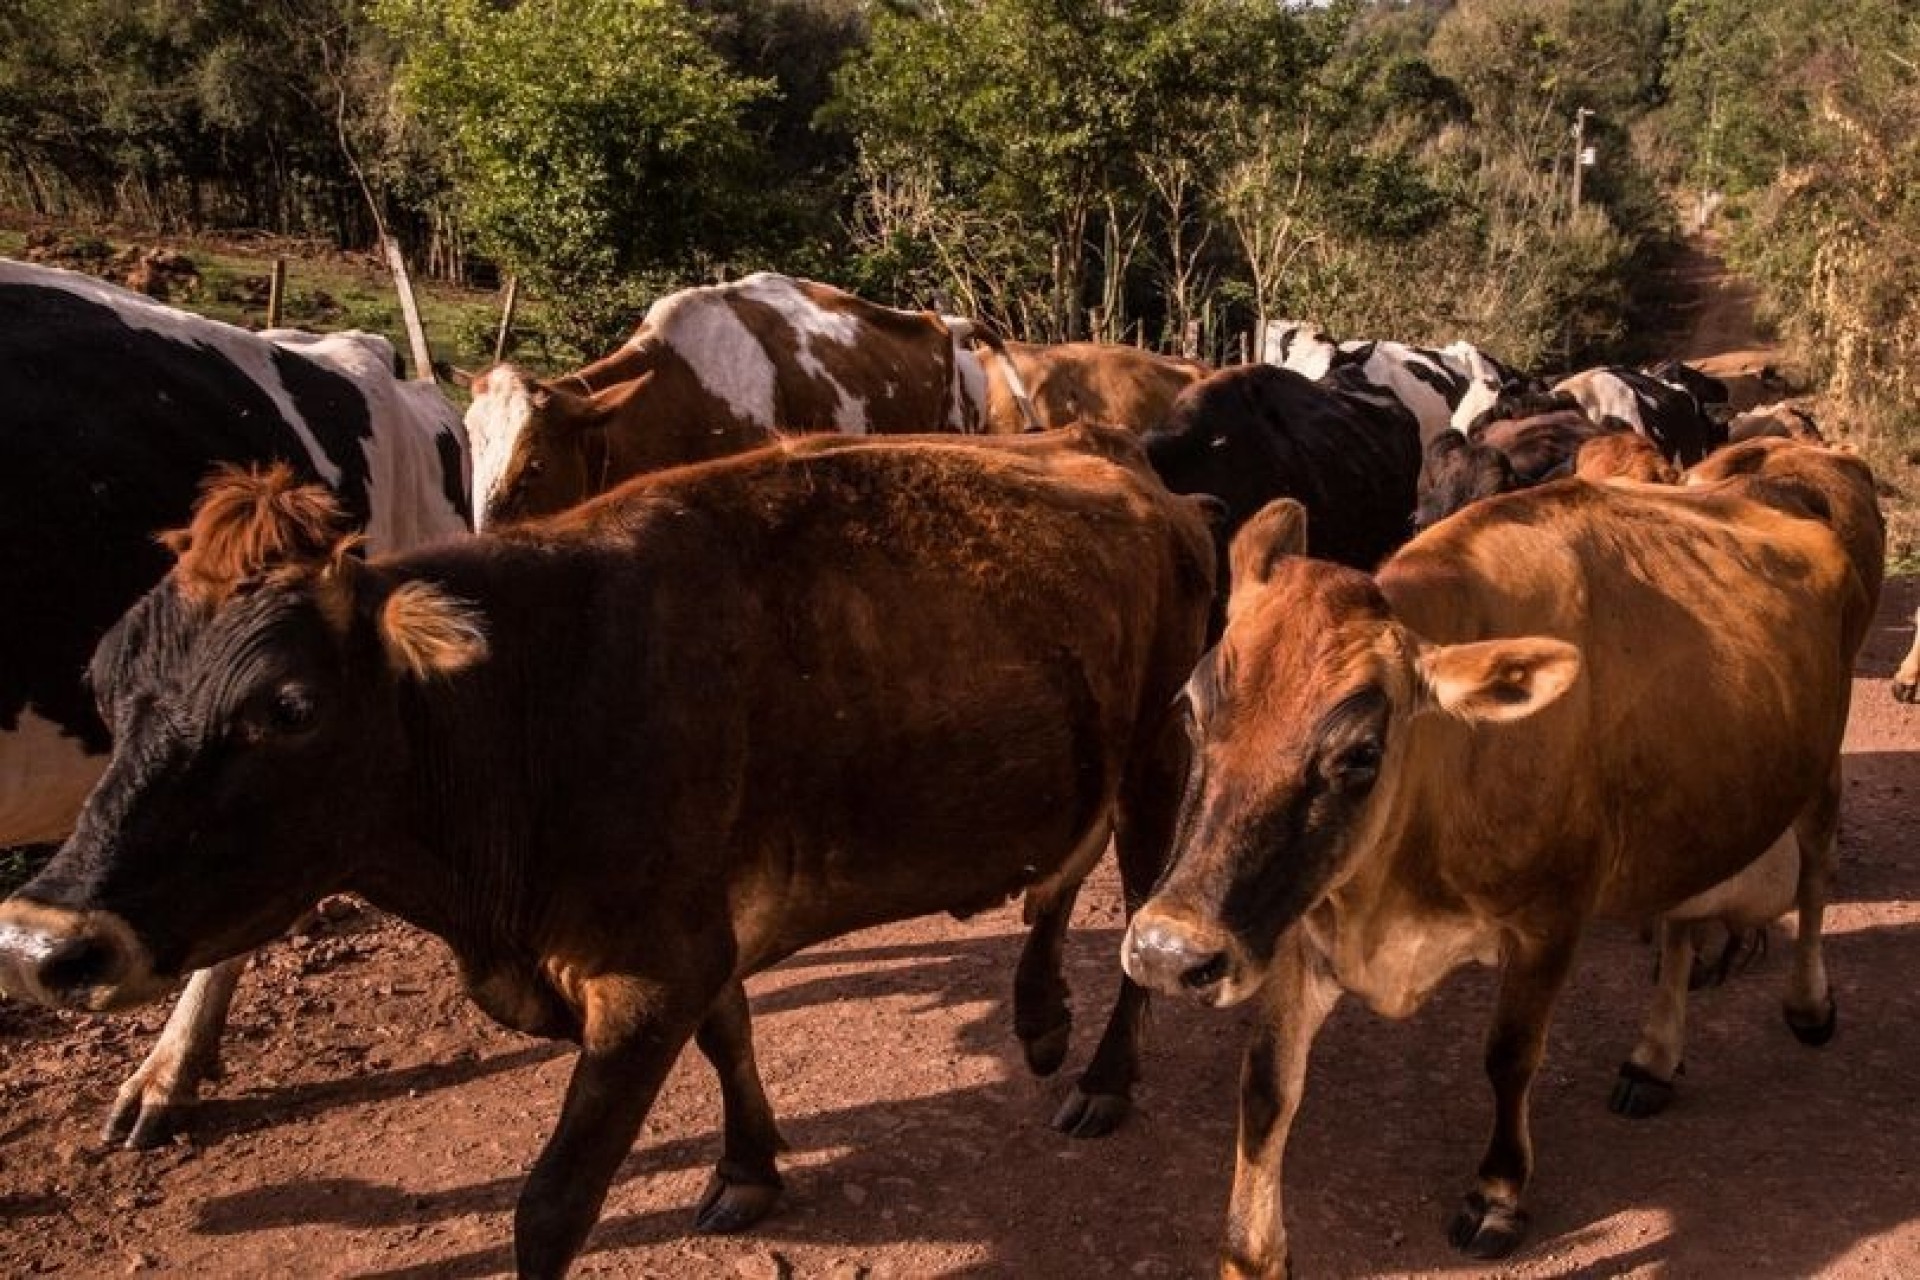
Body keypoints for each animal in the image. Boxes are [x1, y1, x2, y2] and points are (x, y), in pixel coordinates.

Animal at [0, 429, 1205, 1280]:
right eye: (104, 686)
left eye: (288, 706)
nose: (41, 938)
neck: (526, 700)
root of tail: (1125, 460)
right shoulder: (694, 930)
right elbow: (731, 1037)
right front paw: (749, 1167)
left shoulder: (647, 970)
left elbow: (552, 1203)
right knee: (1059, 872)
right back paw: (1039, 1019)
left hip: (1158, 748)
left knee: (1140, 913)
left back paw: (1101, 1077)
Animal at [1121, 445, 1881, 1274]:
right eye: (1191, 711)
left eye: (1361, 754)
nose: (1167, 952)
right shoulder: (1296, 921)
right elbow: (1266, 1084)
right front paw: (1252, 1250)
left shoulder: (1551, 921)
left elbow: (1510, 1056)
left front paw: (1497, 1193)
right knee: (1683, 920)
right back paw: (1653, 1058)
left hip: (1820, 773)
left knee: (1816, 880)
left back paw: (1809, 1005)